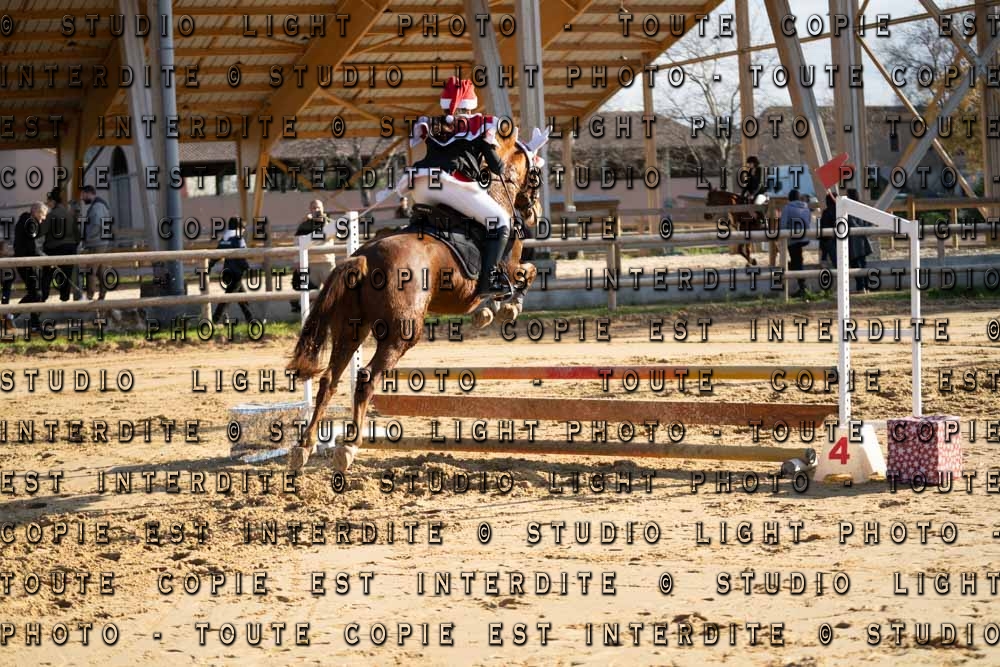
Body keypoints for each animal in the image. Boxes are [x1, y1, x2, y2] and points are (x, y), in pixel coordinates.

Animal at [285, 129, 543, 472]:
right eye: (536, 174)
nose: (533, 214)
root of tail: (363, 257)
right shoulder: (509, 265)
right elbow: (528, 272)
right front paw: (503, 308)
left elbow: (527, 274)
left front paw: (495, 309)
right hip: (403, 332)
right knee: (366, 378)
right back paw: (348, 446)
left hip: (353, 329)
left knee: (329, 379)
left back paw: (304, 447)